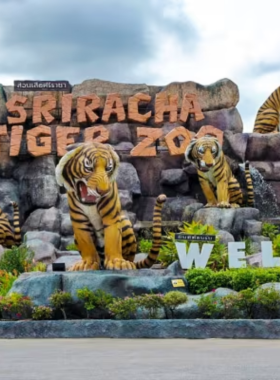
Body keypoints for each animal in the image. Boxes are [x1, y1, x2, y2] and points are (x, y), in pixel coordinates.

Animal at [55, 142, 166, 270]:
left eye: (108, 168)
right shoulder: (79, 220)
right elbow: (87, 245)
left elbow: (112, 240)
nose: (103, 191)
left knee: (130, 258)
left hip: (125, 223)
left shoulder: (111, 216)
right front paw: (87, 263)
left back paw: (127, 262)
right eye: (89, 168)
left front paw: (117, 262)